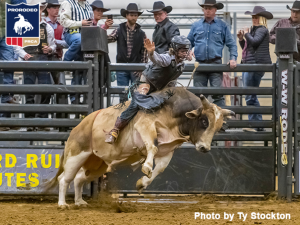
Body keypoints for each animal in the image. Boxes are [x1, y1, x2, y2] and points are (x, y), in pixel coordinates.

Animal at [44, 87, 234, 208]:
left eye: (218, 127)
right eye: (204, 121)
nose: (204, 148)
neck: (174, 113)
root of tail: (78, 127)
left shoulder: (168, 150)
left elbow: (160, 168)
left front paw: (142, 183)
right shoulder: (144, 127)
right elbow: (152, 147)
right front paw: (146, 166)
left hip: (97, 165)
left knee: (78, 179)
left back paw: (79, 202)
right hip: (76, 156)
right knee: (64, 179)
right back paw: (63, 204)